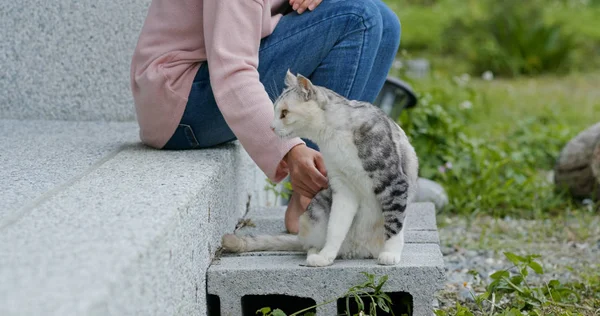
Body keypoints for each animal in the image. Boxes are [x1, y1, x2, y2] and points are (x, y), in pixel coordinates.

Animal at [219, 71, 418, 266]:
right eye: (276, 111)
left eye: (284, 112)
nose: (271, 127)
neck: (333, 136)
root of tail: (356, 250)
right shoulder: (342, 188)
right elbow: (336, 227)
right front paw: (326, 255)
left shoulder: (392, 181)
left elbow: (394, 221)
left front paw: (390, 253)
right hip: (316, 211)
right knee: (309, 243)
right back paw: (317, 255)